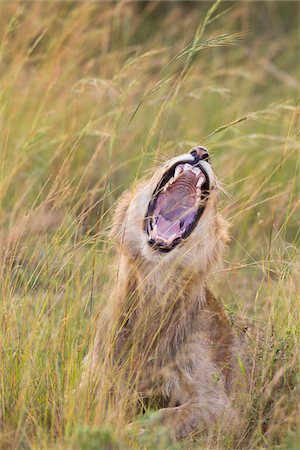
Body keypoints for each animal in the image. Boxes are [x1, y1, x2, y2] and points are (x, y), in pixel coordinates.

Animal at [82, 147, 255, 440]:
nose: (201, 152)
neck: (155, 283)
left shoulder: (224, 408)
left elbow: (165, 418)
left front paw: (123, 432)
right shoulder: (94, 372)